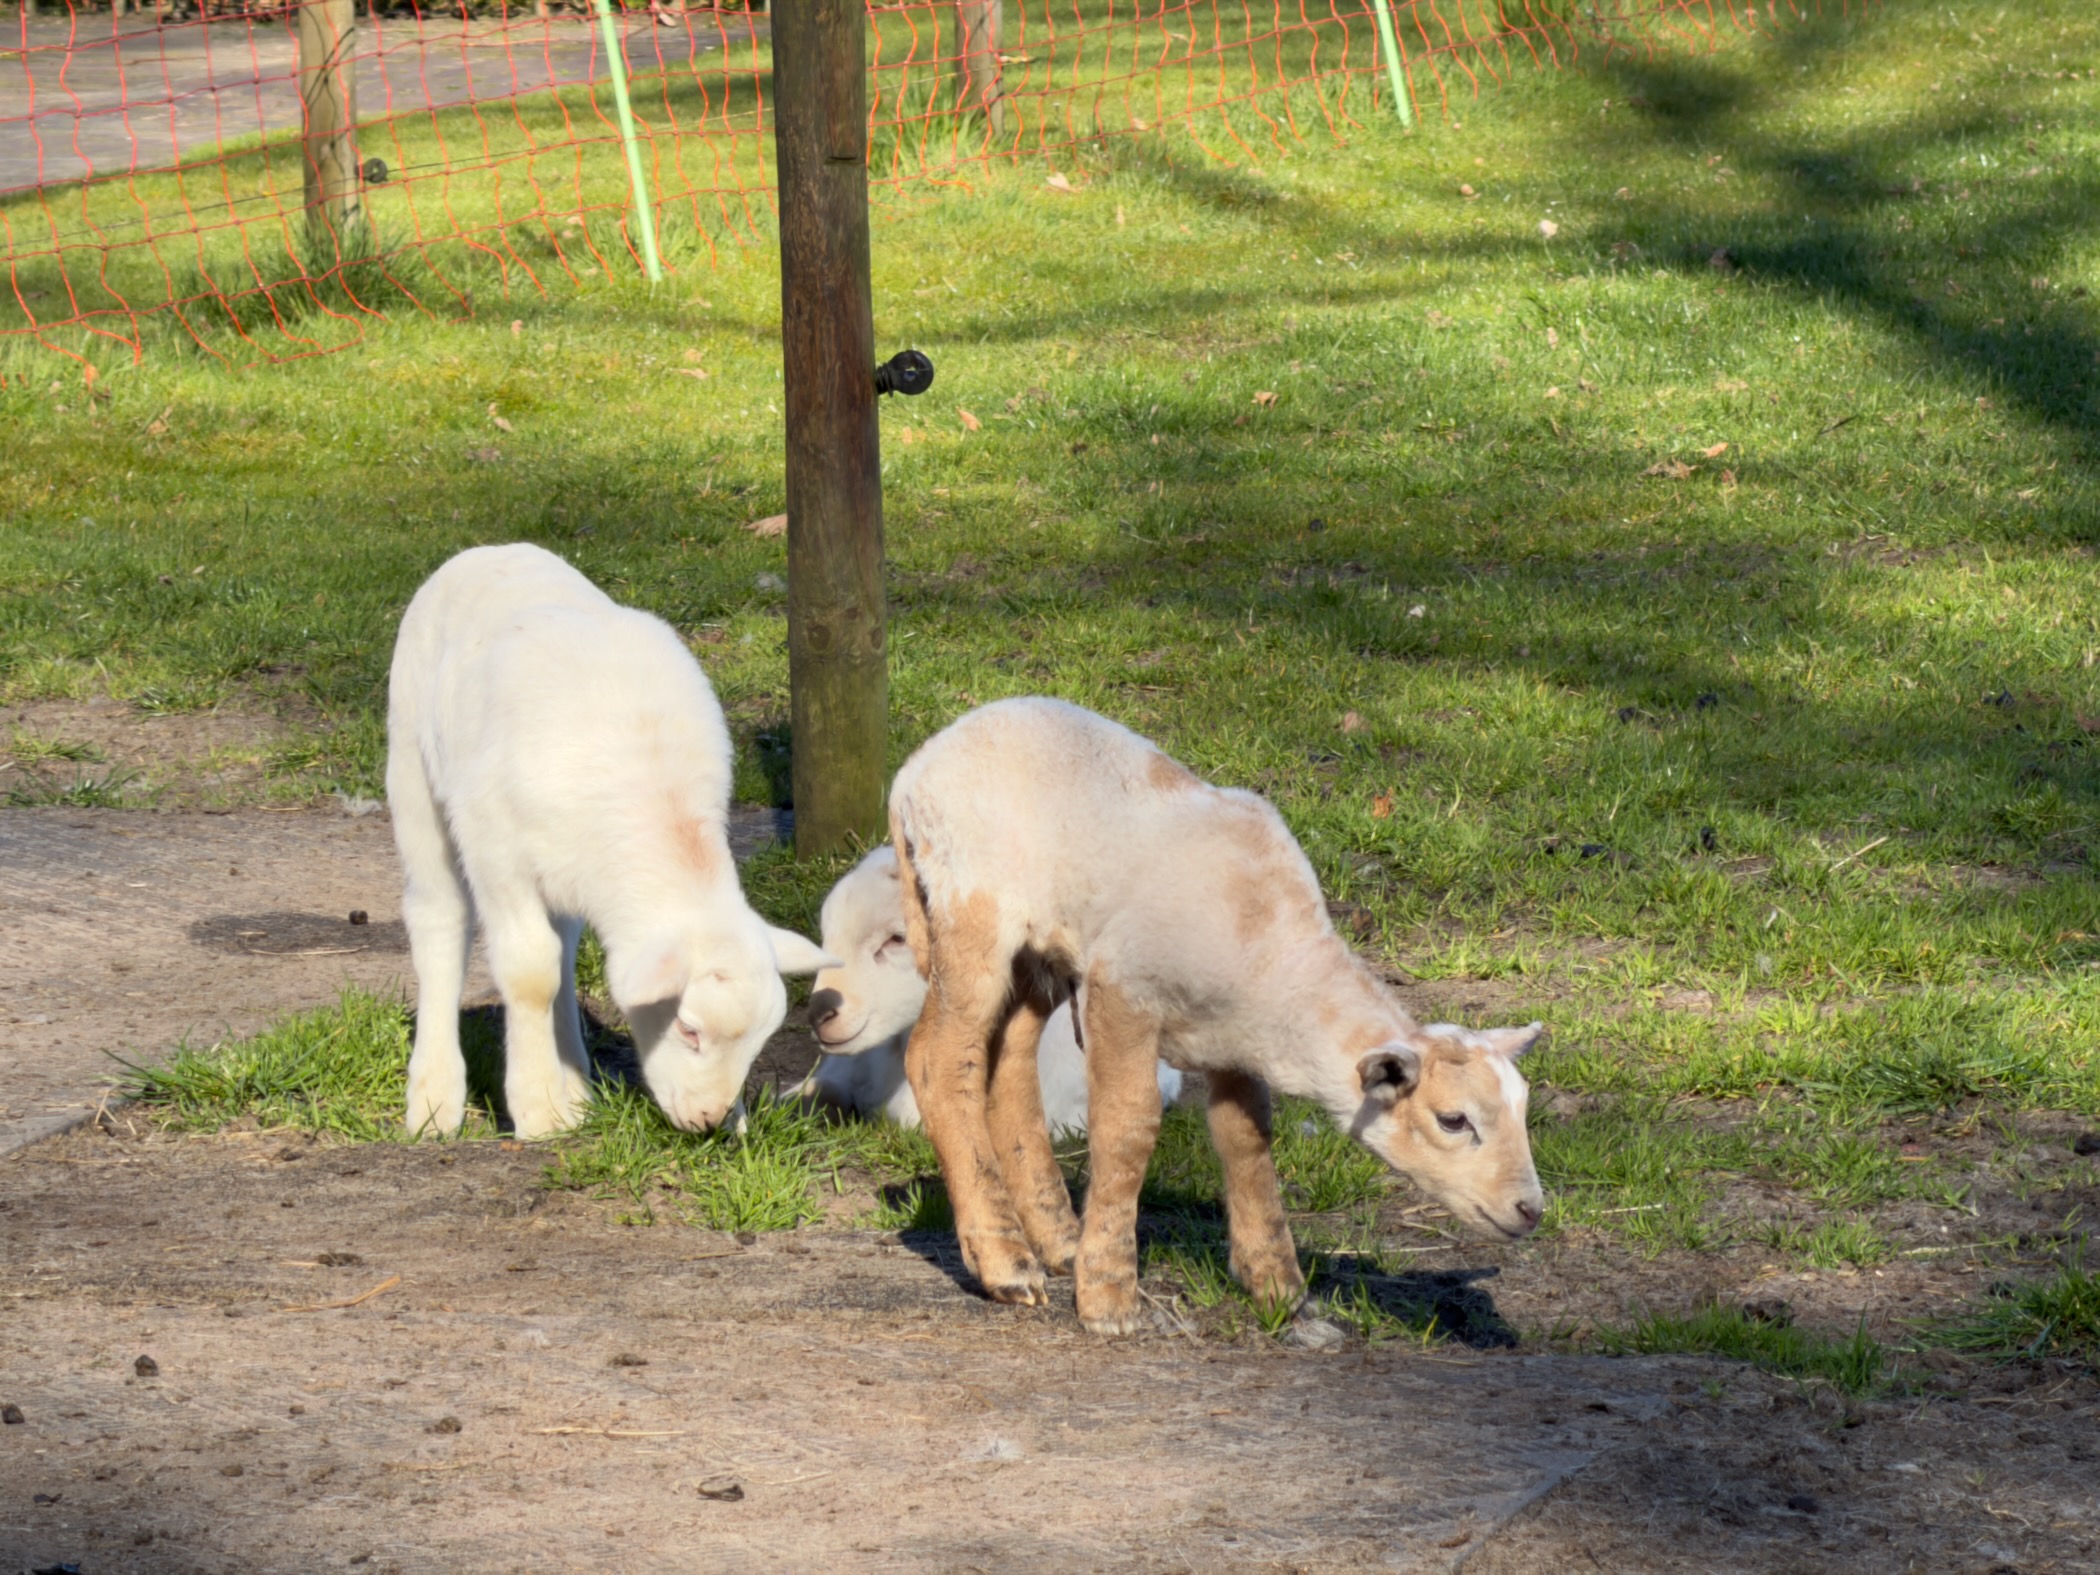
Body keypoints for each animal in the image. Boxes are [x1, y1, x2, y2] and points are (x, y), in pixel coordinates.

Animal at [385, 543, 834, 1140]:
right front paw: (538, 1110)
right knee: (439, 915)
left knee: (564, 944)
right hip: (412, 765)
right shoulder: (496, 850)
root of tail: (494, 549)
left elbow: (556, 965)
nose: (711, 1120)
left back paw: (575, 1086)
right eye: (689, 1030)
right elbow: (529, 971)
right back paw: (435, 1100)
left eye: (761, 1041)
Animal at [889, 697, 1546, 1335]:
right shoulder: (1124, 990)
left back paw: (1057, 1241)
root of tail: (915, 768)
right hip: (972, 912)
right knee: (938, 1061)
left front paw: (1279, 1291)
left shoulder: (1235, 1041)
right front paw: (1109, 1298)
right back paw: (1006, 1261)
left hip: (1040, 951)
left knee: (1009, 1064)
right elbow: (1127, 1130)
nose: (1531, 1210)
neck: (1276, 961)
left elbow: (1246, 1140)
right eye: (1453, 1120)